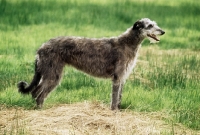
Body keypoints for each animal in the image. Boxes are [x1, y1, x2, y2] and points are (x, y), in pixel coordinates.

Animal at [17, 17, 164, 110]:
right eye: (150, 26)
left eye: (155, 24)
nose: (163, 31)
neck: (128, 42)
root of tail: (41, 48)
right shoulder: (117, 78)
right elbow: (114, 98)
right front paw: (114, 112)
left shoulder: (122, 78)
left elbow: (119, 98)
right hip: (53, 75)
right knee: (39, 94)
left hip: (49, 73)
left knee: (35, 92)